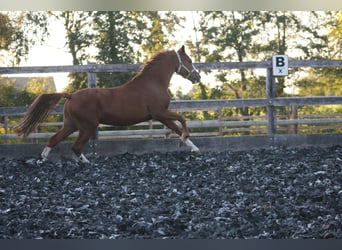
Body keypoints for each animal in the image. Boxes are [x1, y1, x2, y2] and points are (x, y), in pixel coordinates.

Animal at [12, 45, 200, 163]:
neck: (153, 83)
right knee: (76, 146)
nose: (197, 77)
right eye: (189, 60)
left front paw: (194, 148)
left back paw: (41, 160)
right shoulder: (159, 113)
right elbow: (182, 120)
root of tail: (71, 95)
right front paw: (183, 140)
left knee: (54, 139)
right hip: (87, 126)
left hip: (71, 125)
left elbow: (177, 127)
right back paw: (86, 162)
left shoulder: (161, 116)